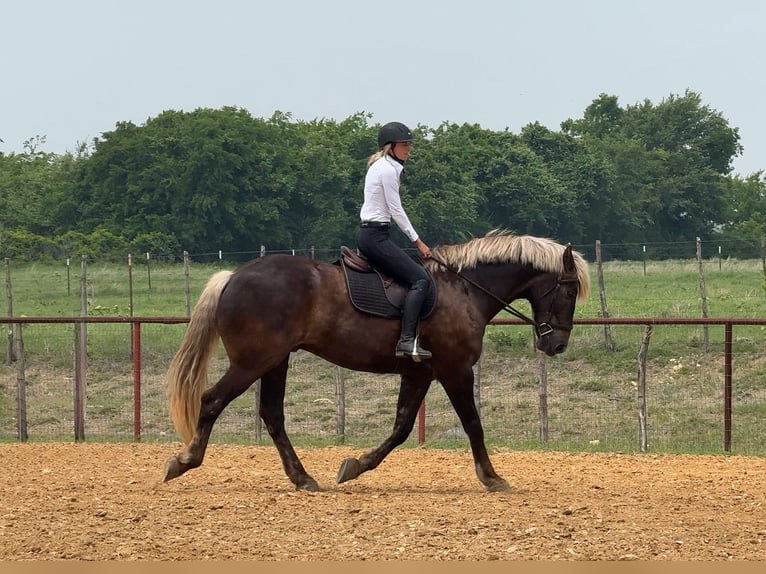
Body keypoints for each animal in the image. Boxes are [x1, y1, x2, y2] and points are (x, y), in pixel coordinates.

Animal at [163, 231, 590, 492]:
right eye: (569, 292)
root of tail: (233, 277)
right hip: (253, 361)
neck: (464, 290)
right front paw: (492, 478)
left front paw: (355, 465)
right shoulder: (455, 370)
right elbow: (473, 424)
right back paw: (184, 461)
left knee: (271, 414)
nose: (557, 345)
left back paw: (303, 478)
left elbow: (401, 427)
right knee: (212, 400)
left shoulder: (420, 372)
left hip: (275, 362)